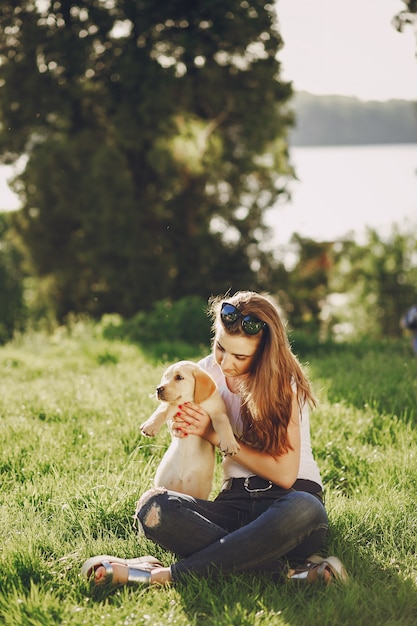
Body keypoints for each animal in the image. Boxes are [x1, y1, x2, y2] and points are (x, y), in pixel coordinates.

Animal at [140, 360, 239, 498]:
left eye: (179, 377)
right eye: (165, 376)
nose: (158, 389)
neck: (193, 401)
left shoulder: (219, 413)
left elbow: (224, 425)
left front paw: (230, 444)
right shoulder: (174, 406)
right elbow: (162, 411)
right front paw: (150, 426)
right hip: (163, 480)